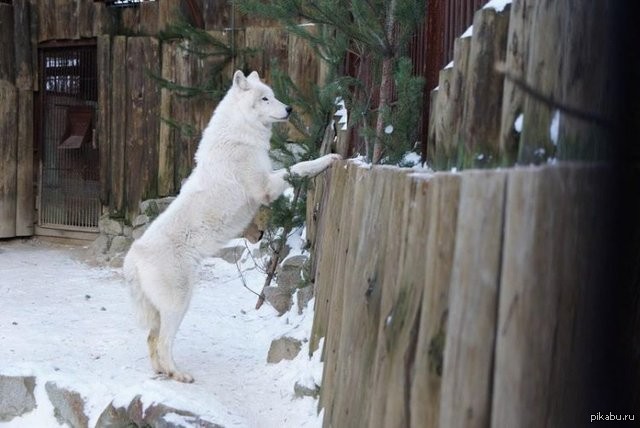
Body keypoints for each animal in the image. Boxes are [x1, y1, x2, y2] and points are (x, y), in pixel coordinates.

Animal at [121, 69, 340, 382]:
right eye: (265, 98)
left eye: (273, 96)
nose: (289, 109)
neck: (239, 133)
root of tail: (133, 257)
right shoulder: (266, 188)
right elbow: (299, 167)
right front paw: (327, 159)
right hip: (179, 303)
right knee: (162, 342)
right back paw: (179, 374)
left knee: (151, 339)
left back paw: (163, 372)